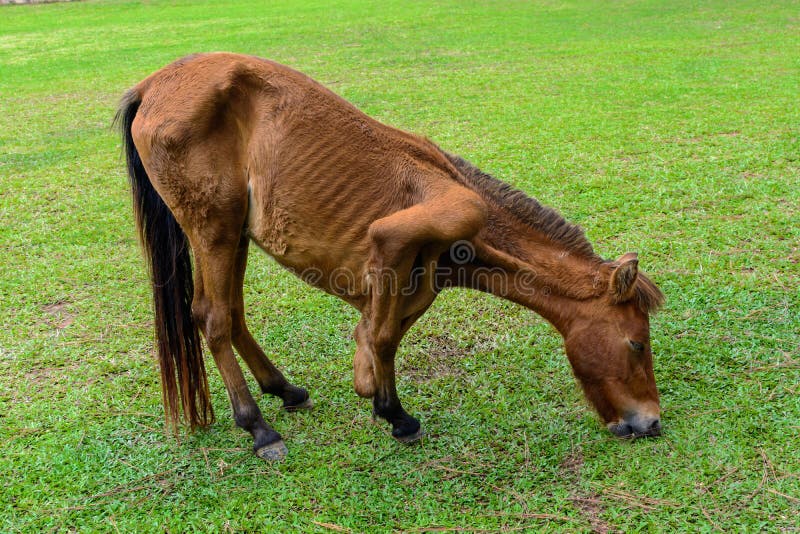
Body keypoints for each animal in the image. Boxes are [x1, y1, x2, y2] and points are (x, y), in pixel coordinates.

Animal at [115, 53, 665, 460]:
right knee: (213, 317)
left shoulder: (414, 280)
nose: (651, 422)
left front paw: (376, 398)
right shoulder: (394, 242)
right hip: (214, 229)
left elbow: (381, 335)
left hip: (235, 237)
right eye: (636, 343)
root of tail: (151, 85)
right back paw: (258, 427)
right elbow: (381, 336)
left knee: (232, 314)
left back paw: (283, 389)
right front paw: (396, 415)